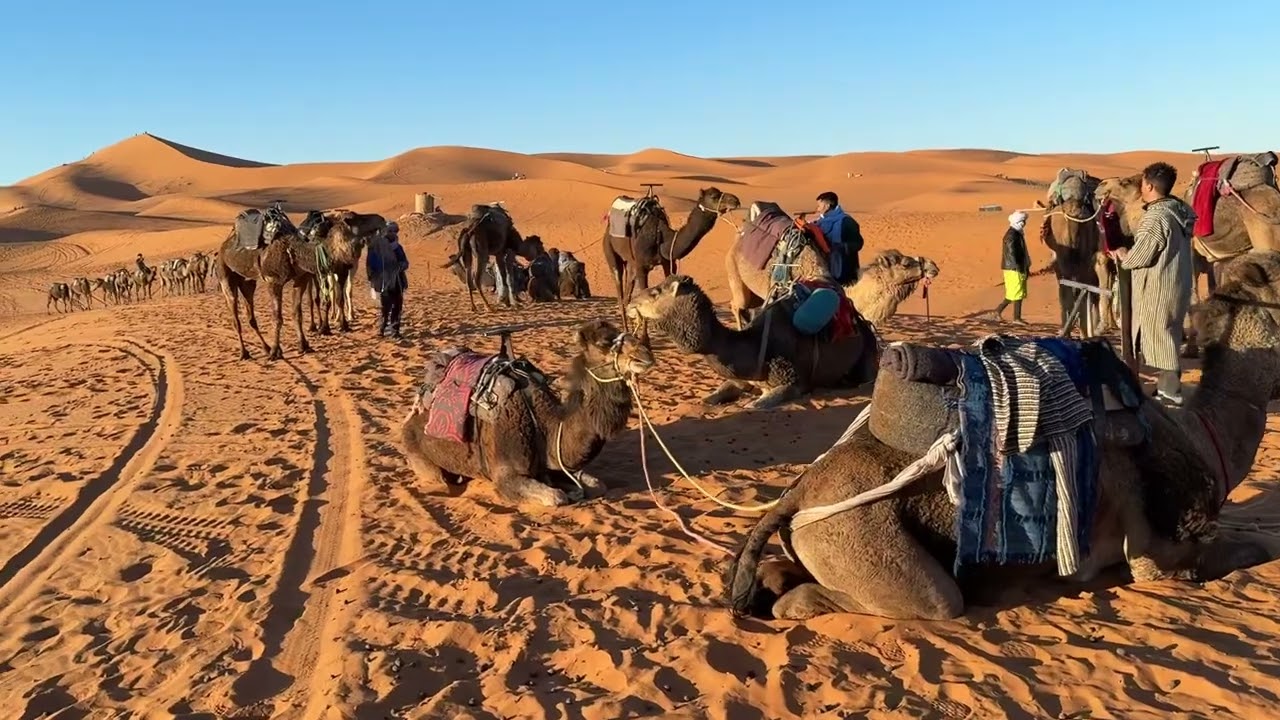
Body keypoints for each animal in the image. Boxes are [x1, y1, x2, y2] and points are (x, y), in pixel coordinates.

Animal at [400, 320, 655, 507]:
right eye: (604, 342)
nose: (645, 354)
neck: (545, 426)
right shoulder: (507, 476)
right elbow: (557, 497)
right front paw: (566, 494)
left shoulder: (556, 465)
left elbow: (597, 485)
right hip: (420, 456)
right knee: (441, 478)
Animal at [603, 187, 741, 330]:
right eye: (713, 196)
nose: (735, 200)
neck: (663, 239)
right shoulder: (642, 267)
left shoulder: (668, 263)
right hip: (610, 251)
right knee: (620, 292)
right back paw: (625, 329)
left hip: (631, 263)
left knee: (626, 296)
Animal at [626, 274, 879, 410]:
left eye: (656, 292)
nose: (630, 304)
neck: (757, 346)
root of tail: (861, 321)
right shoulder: (741, 378)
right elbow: (713, 395)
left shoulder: (794, 382)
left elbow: (758, 403)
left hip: (866, 353)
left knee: (866, 379)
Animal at [725, 251, 1280, 621]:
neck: (1201, 435)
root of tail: (798, 492)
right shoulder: (1155, 555)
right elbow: (1252, 549)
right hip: (864, 541)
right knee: (913, 601)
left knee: (781, 573)